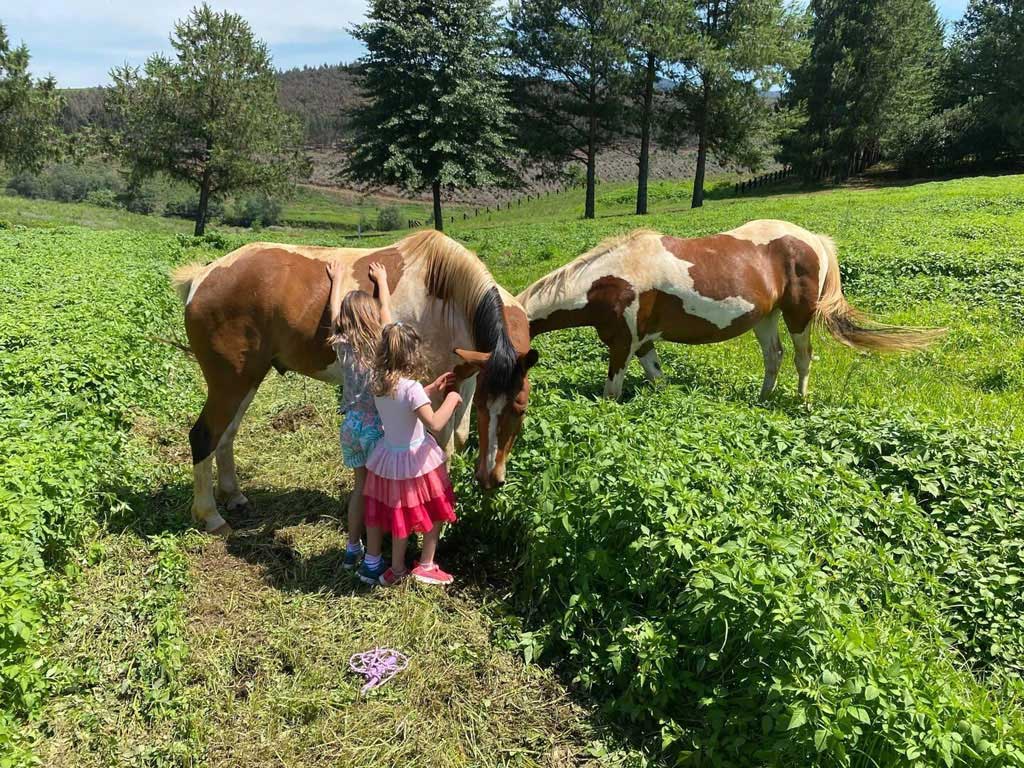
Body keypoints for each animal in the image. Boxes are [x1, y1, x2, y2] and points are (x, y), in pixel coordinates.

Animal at [171, 230, 538, 535]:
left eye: (520, 409)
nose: (491, 478)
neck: (445, 296)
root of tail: (203, 277)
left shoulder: (467, 380)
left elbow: (457, 440)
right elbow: (436, 450)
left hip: (247, 379)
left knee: (226, 434)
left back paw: (232, 495)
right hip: (230, 382)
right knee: (204, 436)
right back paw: (211, 516)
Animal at [517, 220, 942, 400]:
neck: (612, 279)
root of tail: (813, 239)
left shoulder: (622, 345)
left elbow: (611, 394)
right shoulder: (641, 343)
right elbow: (657, 378)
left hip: (798, 316)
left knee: (803, 357)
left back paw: (801, 401)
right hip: (765, 318)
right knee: (774, 356)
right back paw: (762, 399)